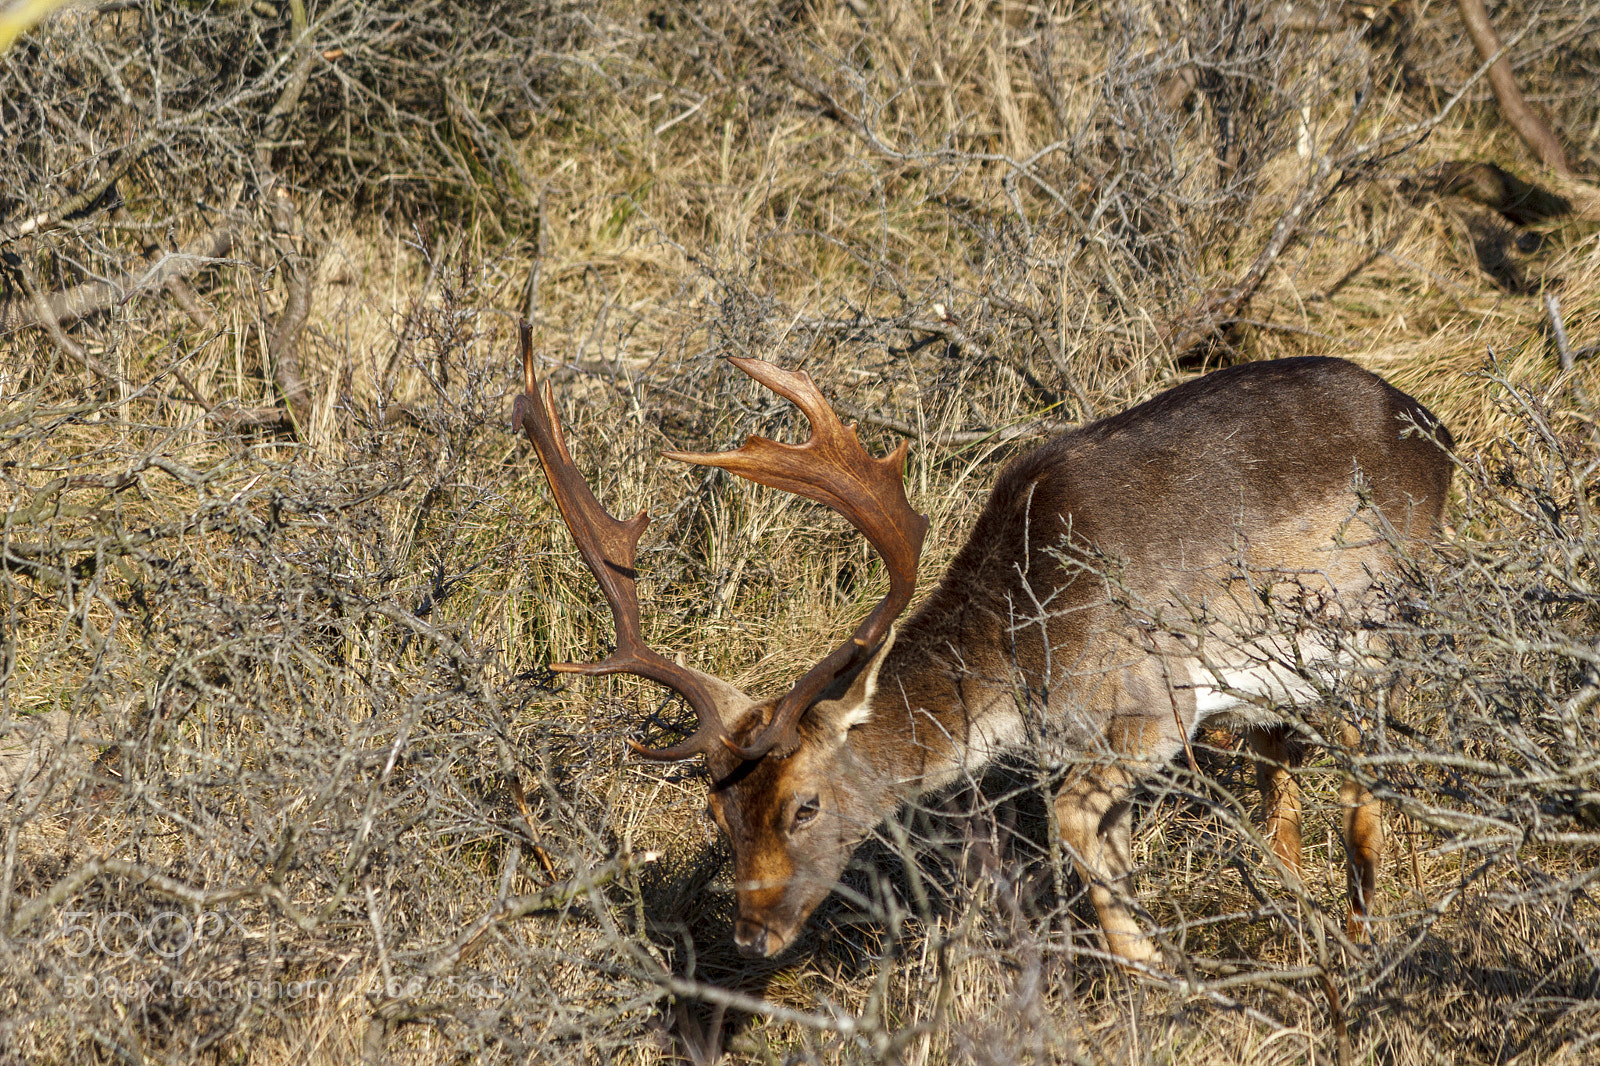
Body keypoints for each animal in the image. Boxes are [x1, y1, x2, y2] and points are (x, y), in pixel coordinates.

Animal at [512, 325, 1453, 966]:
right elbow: (1107, 853)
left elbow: (1072, 821)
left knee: (1368, 775)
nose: (751, 936)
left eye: (805, 805)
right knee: (1281, 773)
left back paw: (1362, 933)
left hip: (1381, 620)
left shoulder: (1155, 701)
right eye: (719, 812)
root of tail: (1436, 433)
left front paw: (1161, 978)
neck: (1027, 654)